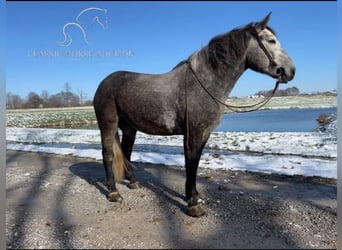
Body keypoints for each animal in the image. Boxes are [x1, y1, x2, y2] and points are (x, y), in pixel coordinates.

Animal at [93, 13, 294, 217]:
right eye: (271, 40)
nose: (290, 71)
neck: (201, 84)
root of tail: (104, 83)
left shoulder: (204, 133)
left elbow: (194, 163)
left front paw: (194, 196)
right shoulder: (193, 134)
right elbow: (191, 163)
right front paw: (193, 204)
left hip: (129, 128)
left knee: (126, 152)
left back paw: (133, 182)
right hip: (108, 124)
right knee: (108, 154)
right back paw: (113, 193)